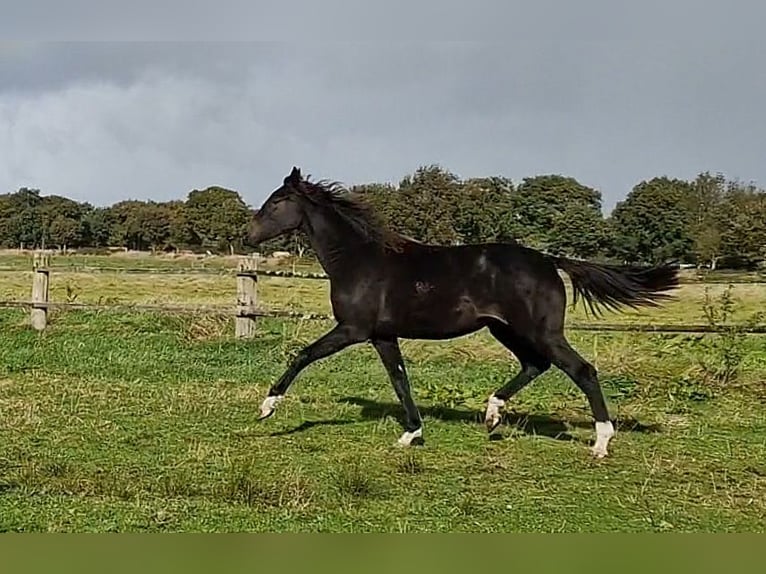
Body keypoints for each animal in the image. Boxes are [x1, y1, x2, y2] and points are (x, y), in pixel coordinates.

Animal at [246, 166, 680, 460]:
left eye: (277, 201)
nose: (248, 236)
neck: (359, 260)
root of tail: (548, 259)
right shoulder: (382, 335)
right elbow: (400, 380)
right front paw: (411, 434)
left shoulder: (352, 328)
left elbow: (303, 355)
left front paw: (267, 407)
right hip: (505, 330)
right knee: (535, 365)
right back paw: (492, 414)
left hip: (540, 331)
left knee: (581, 370)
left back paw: (601, 442)